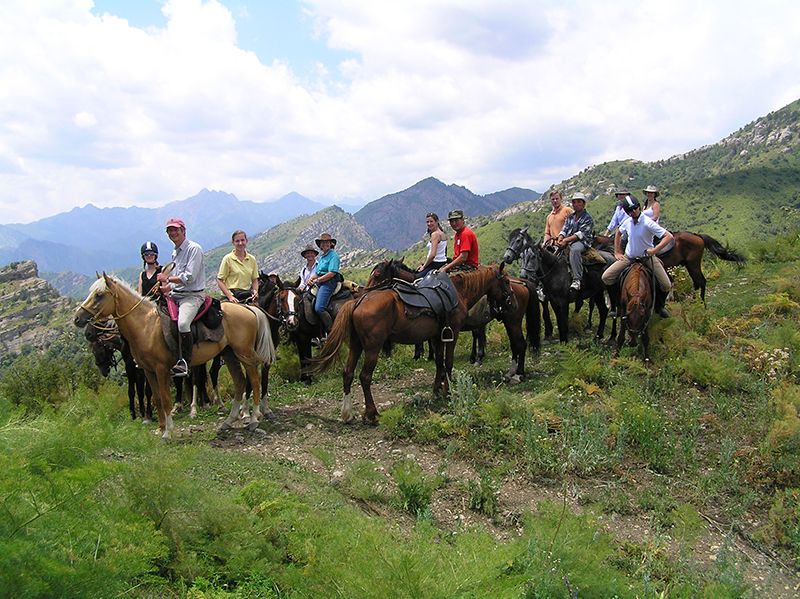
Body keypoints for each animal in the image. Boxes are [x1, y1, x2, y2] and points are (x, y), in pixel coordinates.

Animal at [75, 274, 276, 438]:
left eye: (99, 295)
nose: (78, 318)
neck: (146, 325)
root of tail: (249, 309)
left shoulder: (162, 369)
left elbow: (165, 398)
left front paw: (168, 431)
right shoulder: (148, 371)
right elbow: (156, 397)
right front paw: (160, 428)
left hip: (244, 353)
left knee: (254, 380)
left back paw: (253, 419)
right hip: (229, 353)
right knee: (240, 381)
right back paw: (228, 421)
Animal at [306, 264, 512, 426]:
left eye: (377, 274)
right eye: (508, 281)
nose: (511, 301)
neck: (458, 291)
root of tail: (358, 302)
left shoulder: (438, 336)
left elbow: (439, 363)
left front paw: (436, 390)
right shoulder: (451, 334)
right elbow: (448, 363)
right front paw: (448, 391)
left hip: (356, 346)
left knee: (347, 373)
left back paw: (347, 414)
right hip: (372, 348)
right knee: (364, 377)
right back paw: (372, 414)